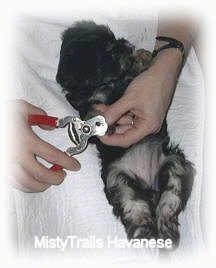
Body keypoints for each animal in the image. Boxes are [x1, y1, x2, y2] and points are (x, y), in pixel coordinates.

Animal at [55, 21, 194, 249]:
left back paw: (166, 230)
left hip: (175, 162)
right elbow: (89, 112)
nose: (127, 44)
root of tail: (149, 185)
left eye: (115, 40)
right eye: (110, 50)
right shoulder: (83, 105)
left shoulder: (129, 83)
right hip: (116, 178)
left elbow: (135, 73)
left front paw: (143, 56)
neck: (106, 85)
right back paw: (143, 231)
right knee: (132, 202)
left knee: (171, 196)